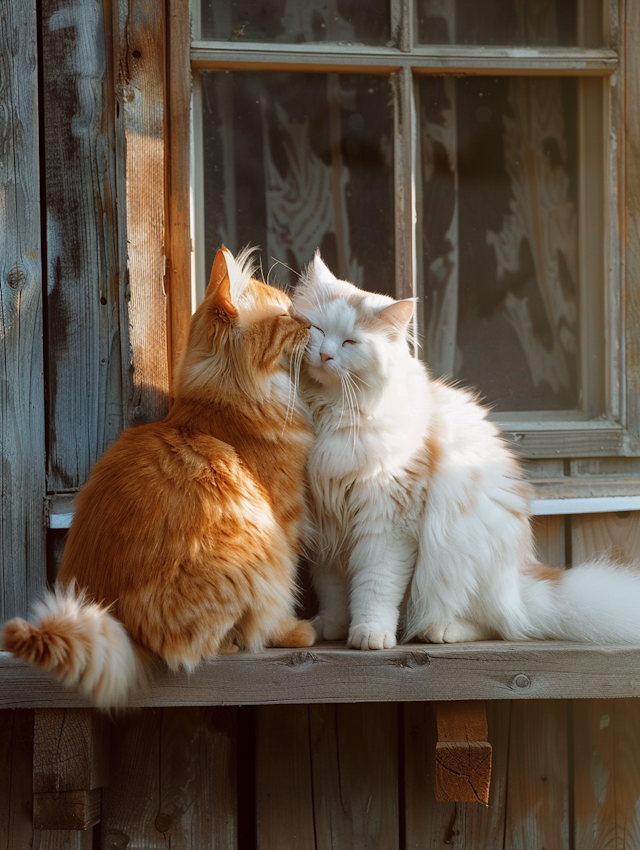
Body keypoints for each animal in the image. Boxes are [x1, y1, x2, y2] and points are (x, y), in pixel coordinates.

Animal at [2, 248, 316, 704]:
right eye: (287, 314)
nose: (312, 323)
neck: (220, 410)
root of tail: (116, 619)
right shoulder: (282, 525)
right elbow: (282, 598)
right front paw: (292, 632)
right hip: (241, 558)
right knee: (194, 645)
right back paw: (234, 642)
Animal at [294, 255, 640, 644]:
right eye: (316, 329)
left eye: (350, 342)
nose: (325, 355)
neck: (329, 414)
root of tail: (521, 581)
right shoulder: (326, 526)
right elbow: (334, 591)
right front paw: (331, 627)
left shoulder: (389, 520)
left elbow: (375, 586)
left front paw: (370, 634)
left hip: (459, 547)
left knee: (496, 624)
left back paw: (442, 630)